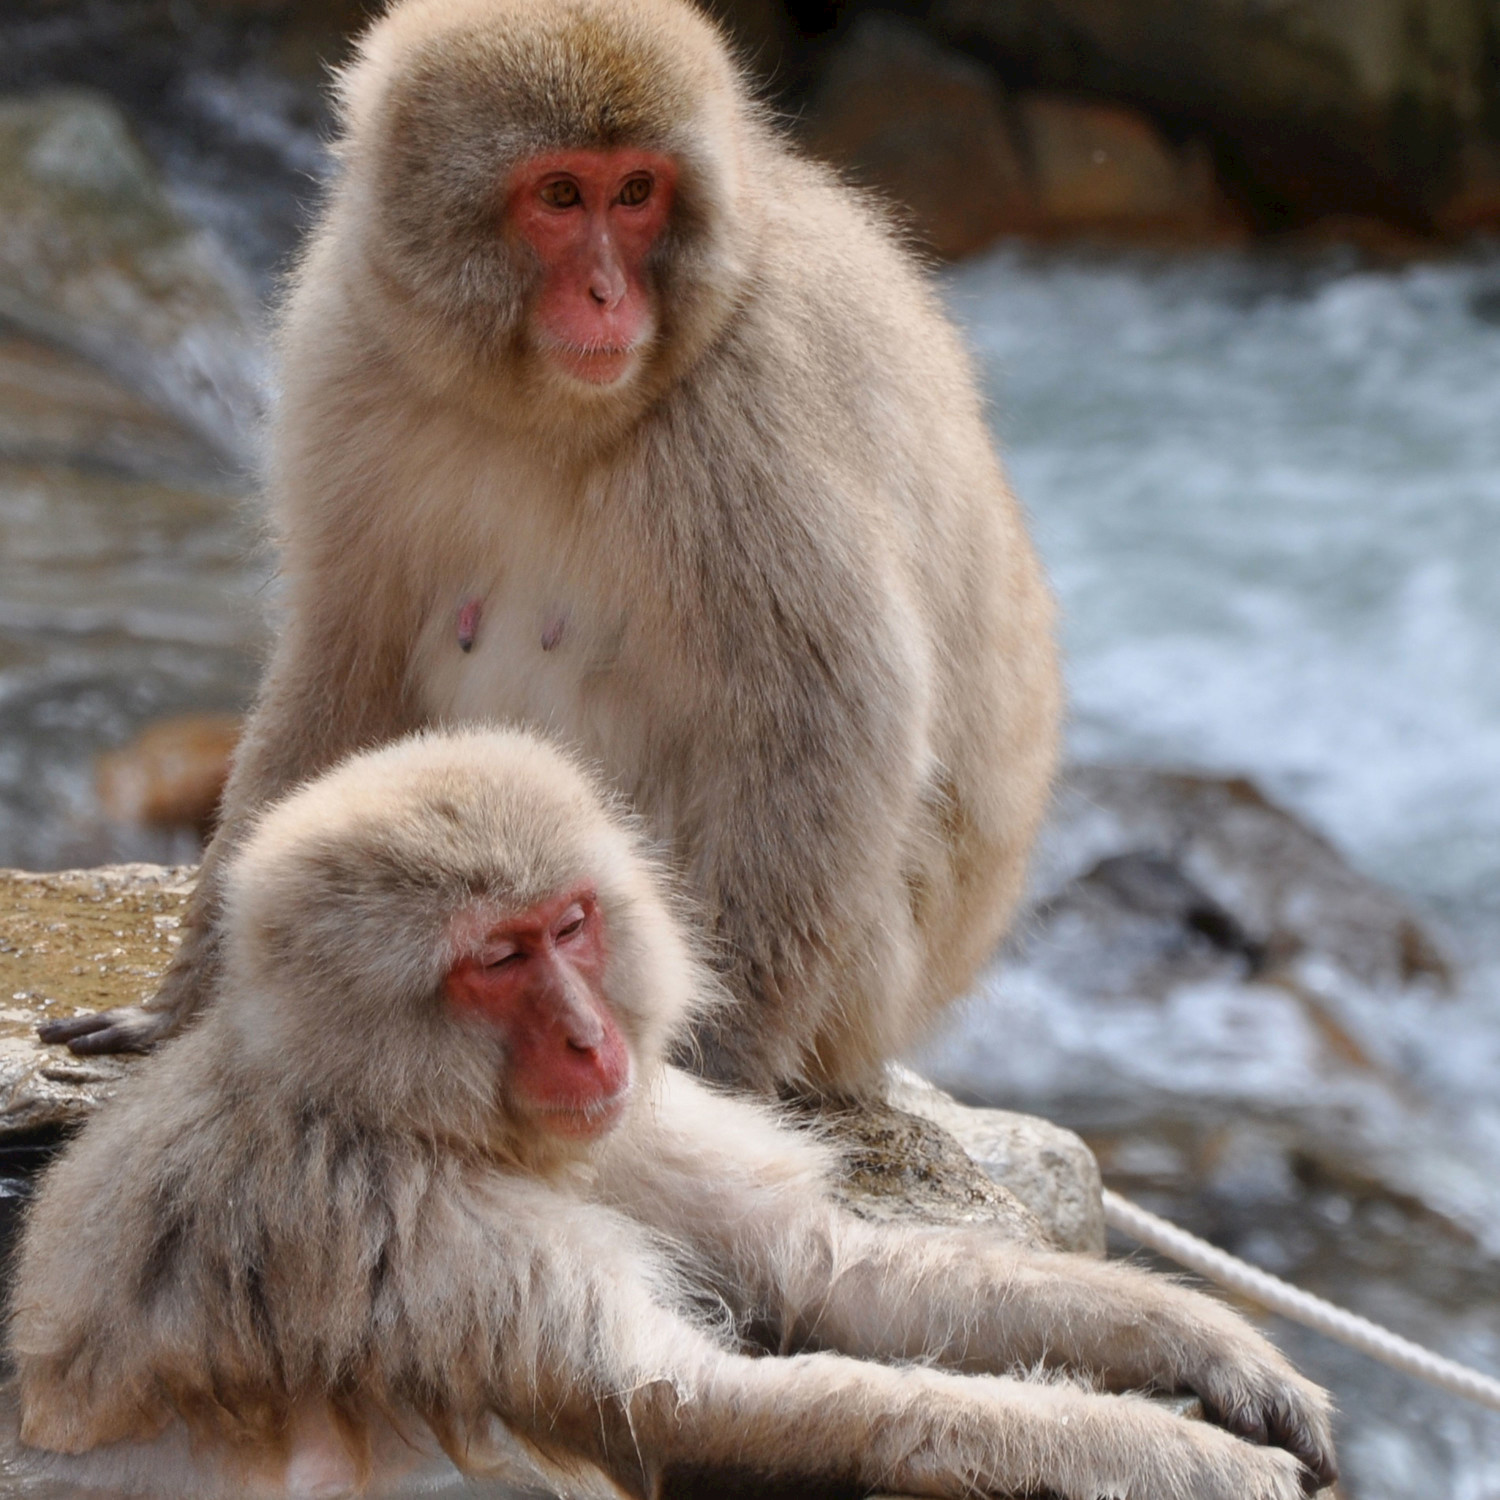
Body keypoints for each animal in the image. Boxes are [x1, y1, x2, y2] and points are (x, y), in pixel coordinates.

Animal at [11, 729, 1338, 1500]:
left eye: (571, 925)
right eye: (497, 960)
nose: (589, 1037)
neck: (437, 1123)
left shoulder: (633, 1126)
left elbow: (827, 1273)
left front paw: (1206, 1345)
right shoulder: (421, 1242)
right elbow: (688, 1407)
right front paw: (1162, 1453)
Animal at [41, 0, 1062, 1092]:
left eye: (639, 192)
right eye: (563, 195)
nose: (611, 295)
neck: (541, 407)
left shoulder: (754, 409)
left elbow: (827, 712)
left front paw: (710, 1064)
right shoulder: (350, 351)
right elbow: (346, 659)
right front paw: (192, 1003)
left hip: (861, 976)